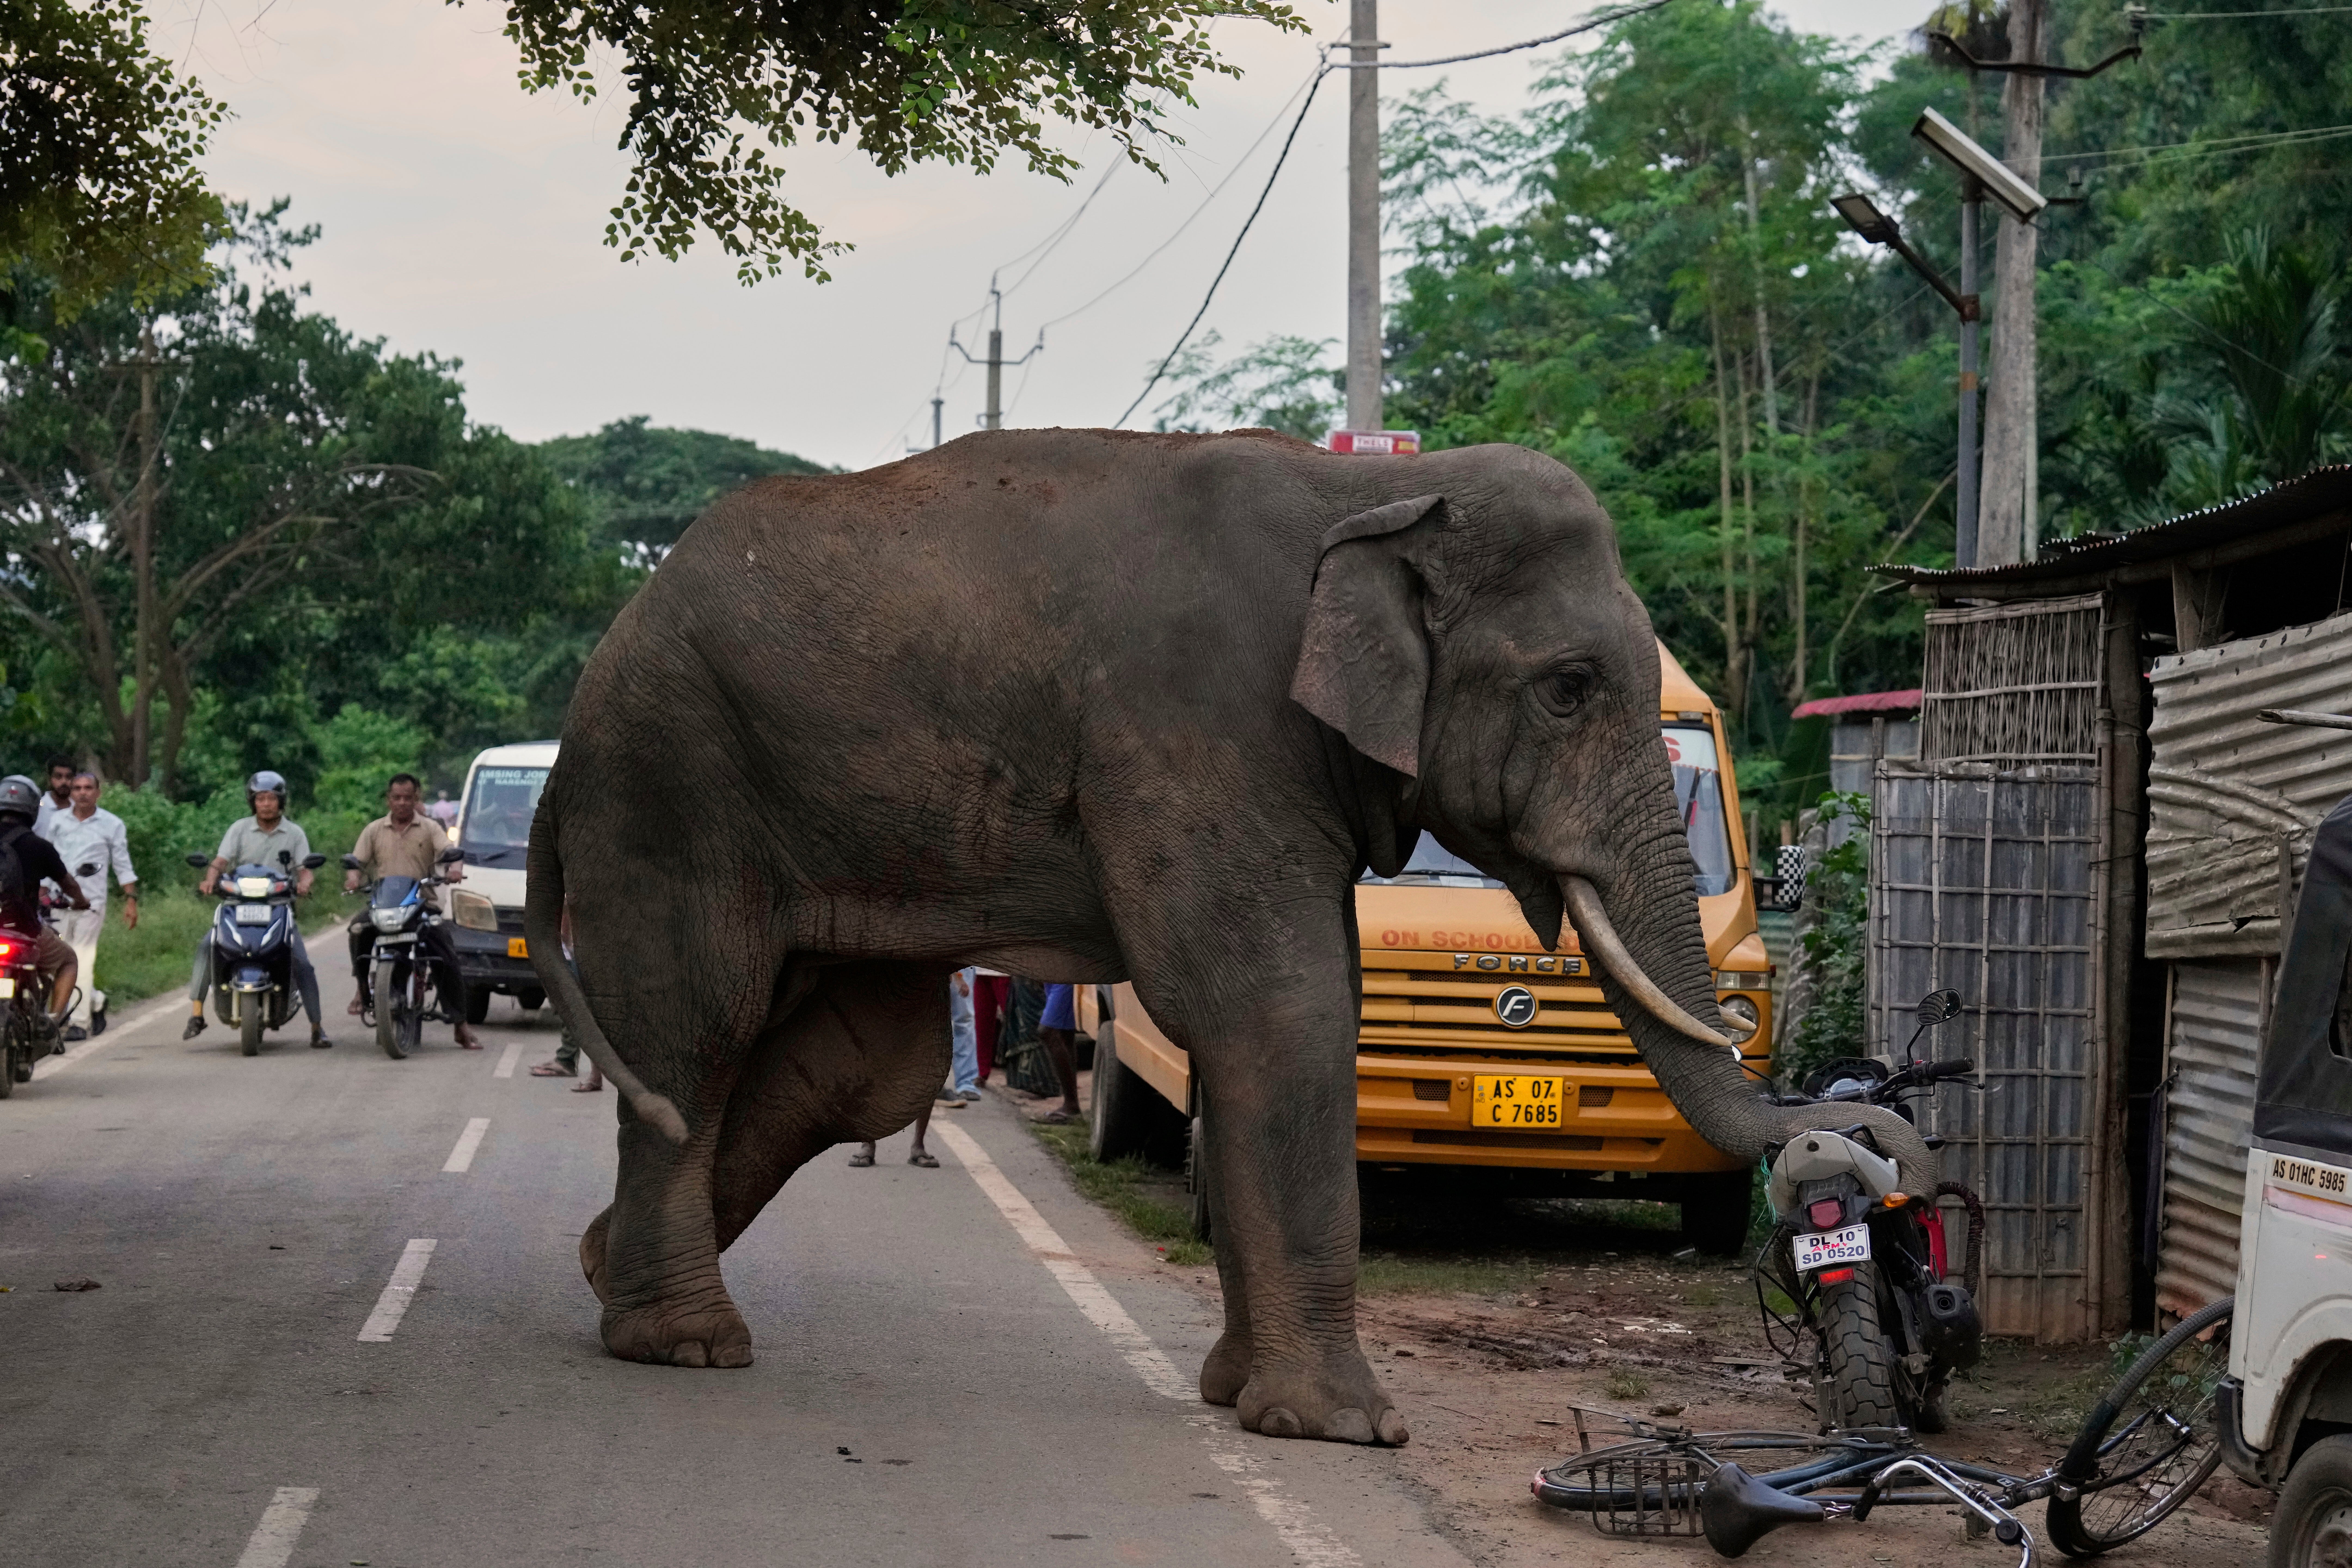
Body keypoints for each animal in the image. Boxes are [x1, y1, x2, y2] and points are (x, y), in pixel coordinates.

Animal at [525, 426, 1932, 1447]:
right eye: (1569, 689)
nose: (1851, 1143)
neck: (1374, 493)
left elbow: (1297, 1014)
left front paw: (1241, 1397)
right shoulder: (1202, 729)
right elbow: (1278, 1009)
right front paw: (1349, 1429)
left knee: (857, 1062)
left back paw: (598, 1268)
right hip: (675, 785)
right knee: (697, 1033)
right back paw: (683, 1342)